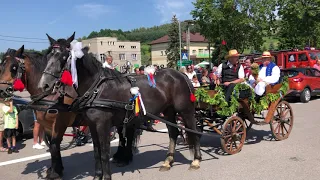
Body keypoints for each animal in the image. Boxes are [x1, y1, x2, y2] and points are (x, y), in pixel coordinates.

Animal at [38, 33, 202, 179]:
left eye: (64, 56)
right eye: (48, 56)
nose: (44, 84)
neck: (97, 88)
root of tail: (181, 75)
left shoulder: (102, 125)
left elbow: (104, 152)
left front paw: (106, 177)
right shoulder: (92, 125)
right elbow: (96, 152)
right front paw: (97, 176)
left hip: (186, 110)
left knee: (193, 131)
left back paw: (195, 160)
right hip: (168, 111)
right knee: (173, 133)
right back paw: (168, 161)